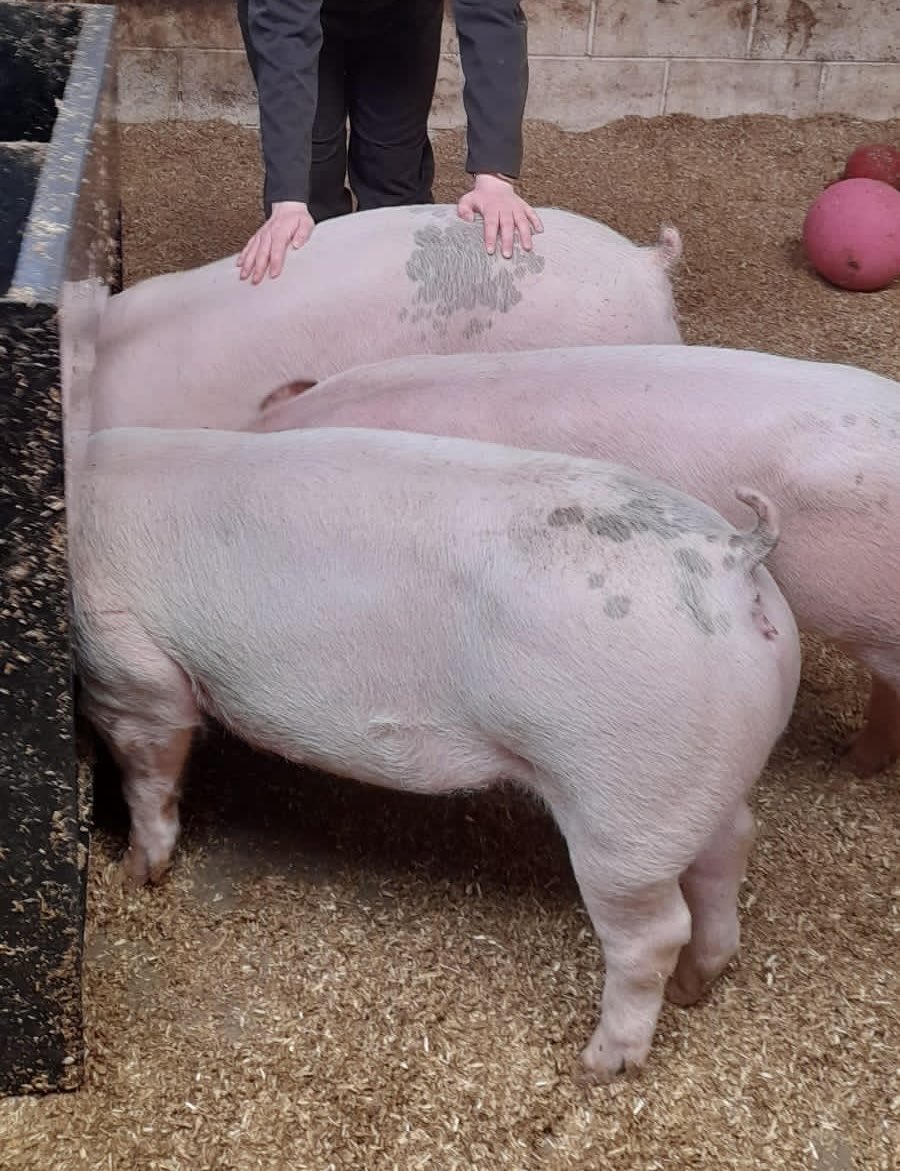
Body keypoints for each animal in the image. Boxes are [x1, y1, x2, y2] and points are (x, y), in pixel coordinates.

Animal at [69, 424, 800, 1083]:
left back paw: (597, 1064)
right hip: (695, 781)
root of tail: (735, 554)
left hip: (624, 800)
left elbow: (148, 767)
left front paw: (131, 873)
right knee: (729, 850)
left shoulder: (123, 660)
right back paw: (693, 989)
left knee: (653, 929)